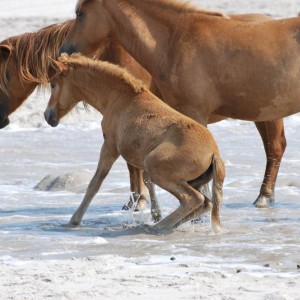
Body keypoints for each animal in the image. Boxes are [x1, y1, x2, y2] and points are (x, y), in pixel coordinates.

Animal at [59, 0, 298, 210]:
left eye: (80, 14)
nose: (64, 50)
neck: (175, 40)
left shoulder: (194, 113)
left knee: (275, 148)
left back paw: (264, 197)